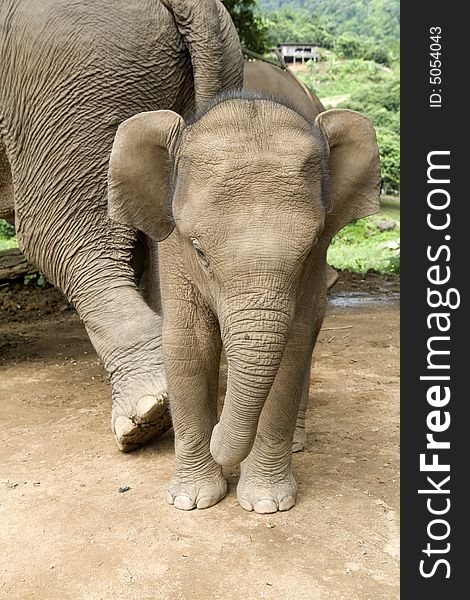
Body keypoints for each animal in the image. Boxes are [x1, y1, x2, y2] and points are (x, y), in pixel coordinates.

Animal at [108, 91, 380, 512]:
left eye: (307, 252)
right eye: (200, 251)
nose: (221, 427)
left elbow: (293, 348)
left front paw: (267, 504)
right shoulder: (172, 250)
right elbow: (187, 344)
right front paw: (192, 500)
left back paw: (296, 445)